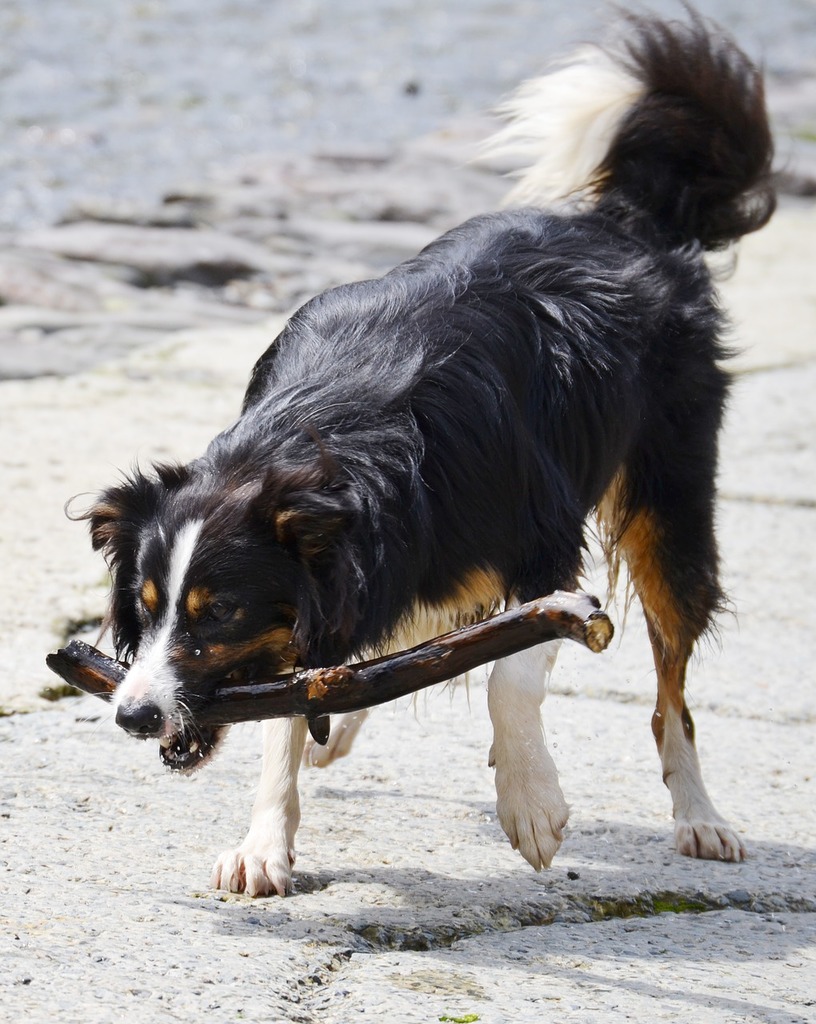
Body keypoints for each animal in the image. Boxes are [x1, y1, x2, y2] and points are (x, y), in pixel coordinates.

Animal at [79, 9, 774, 897]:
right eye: (142, 606)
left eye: (220, 612)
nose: (134, 715)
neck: (316, 441)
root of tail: (627, 217)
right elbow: (291, 702)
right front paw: (265, 840)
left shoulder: (540, 535)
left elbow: (515, 666)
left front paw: (531, 803)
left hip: (670, 500)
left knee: (671, 684)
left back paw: (700, 816)